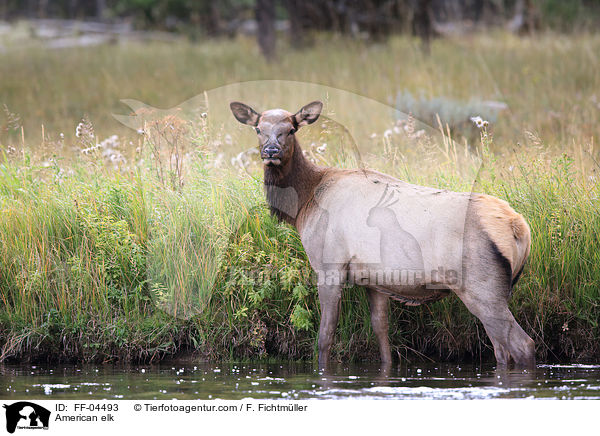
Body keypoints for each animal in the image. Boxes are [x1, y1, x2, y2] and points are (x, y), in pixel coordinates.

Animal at [230, 99, 536, 368]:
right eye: (258, 128)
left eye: (291, 129)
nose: (271, 151)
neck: (304, 204)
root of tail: (519, 227)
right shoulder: (373, 280)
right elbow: (382, 333)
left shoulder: (329, 265)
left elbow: (325, 337)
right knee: (501, 348)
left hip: (481, 286)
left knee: (522, 343)